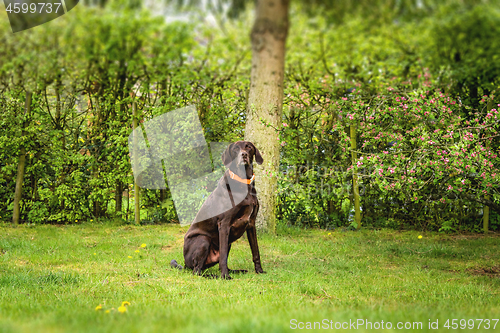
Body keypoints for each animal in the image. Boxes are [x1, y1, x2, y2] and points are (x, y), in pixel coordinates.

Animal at [171, 139, 266, 278]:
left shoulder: (251, 224)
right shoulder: (224, 224)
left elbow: (256, 251)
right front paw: (225, 277)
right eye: (235, 149)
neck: (243, 182)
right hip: (203, 240)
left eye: (248, 147)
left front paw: (259, 270)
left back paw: (236, 271)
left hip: (228, 242)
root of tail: (185, 264)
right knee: (197, 271)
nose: (243, 155)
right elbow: (223, 258)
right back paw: (215, 276)